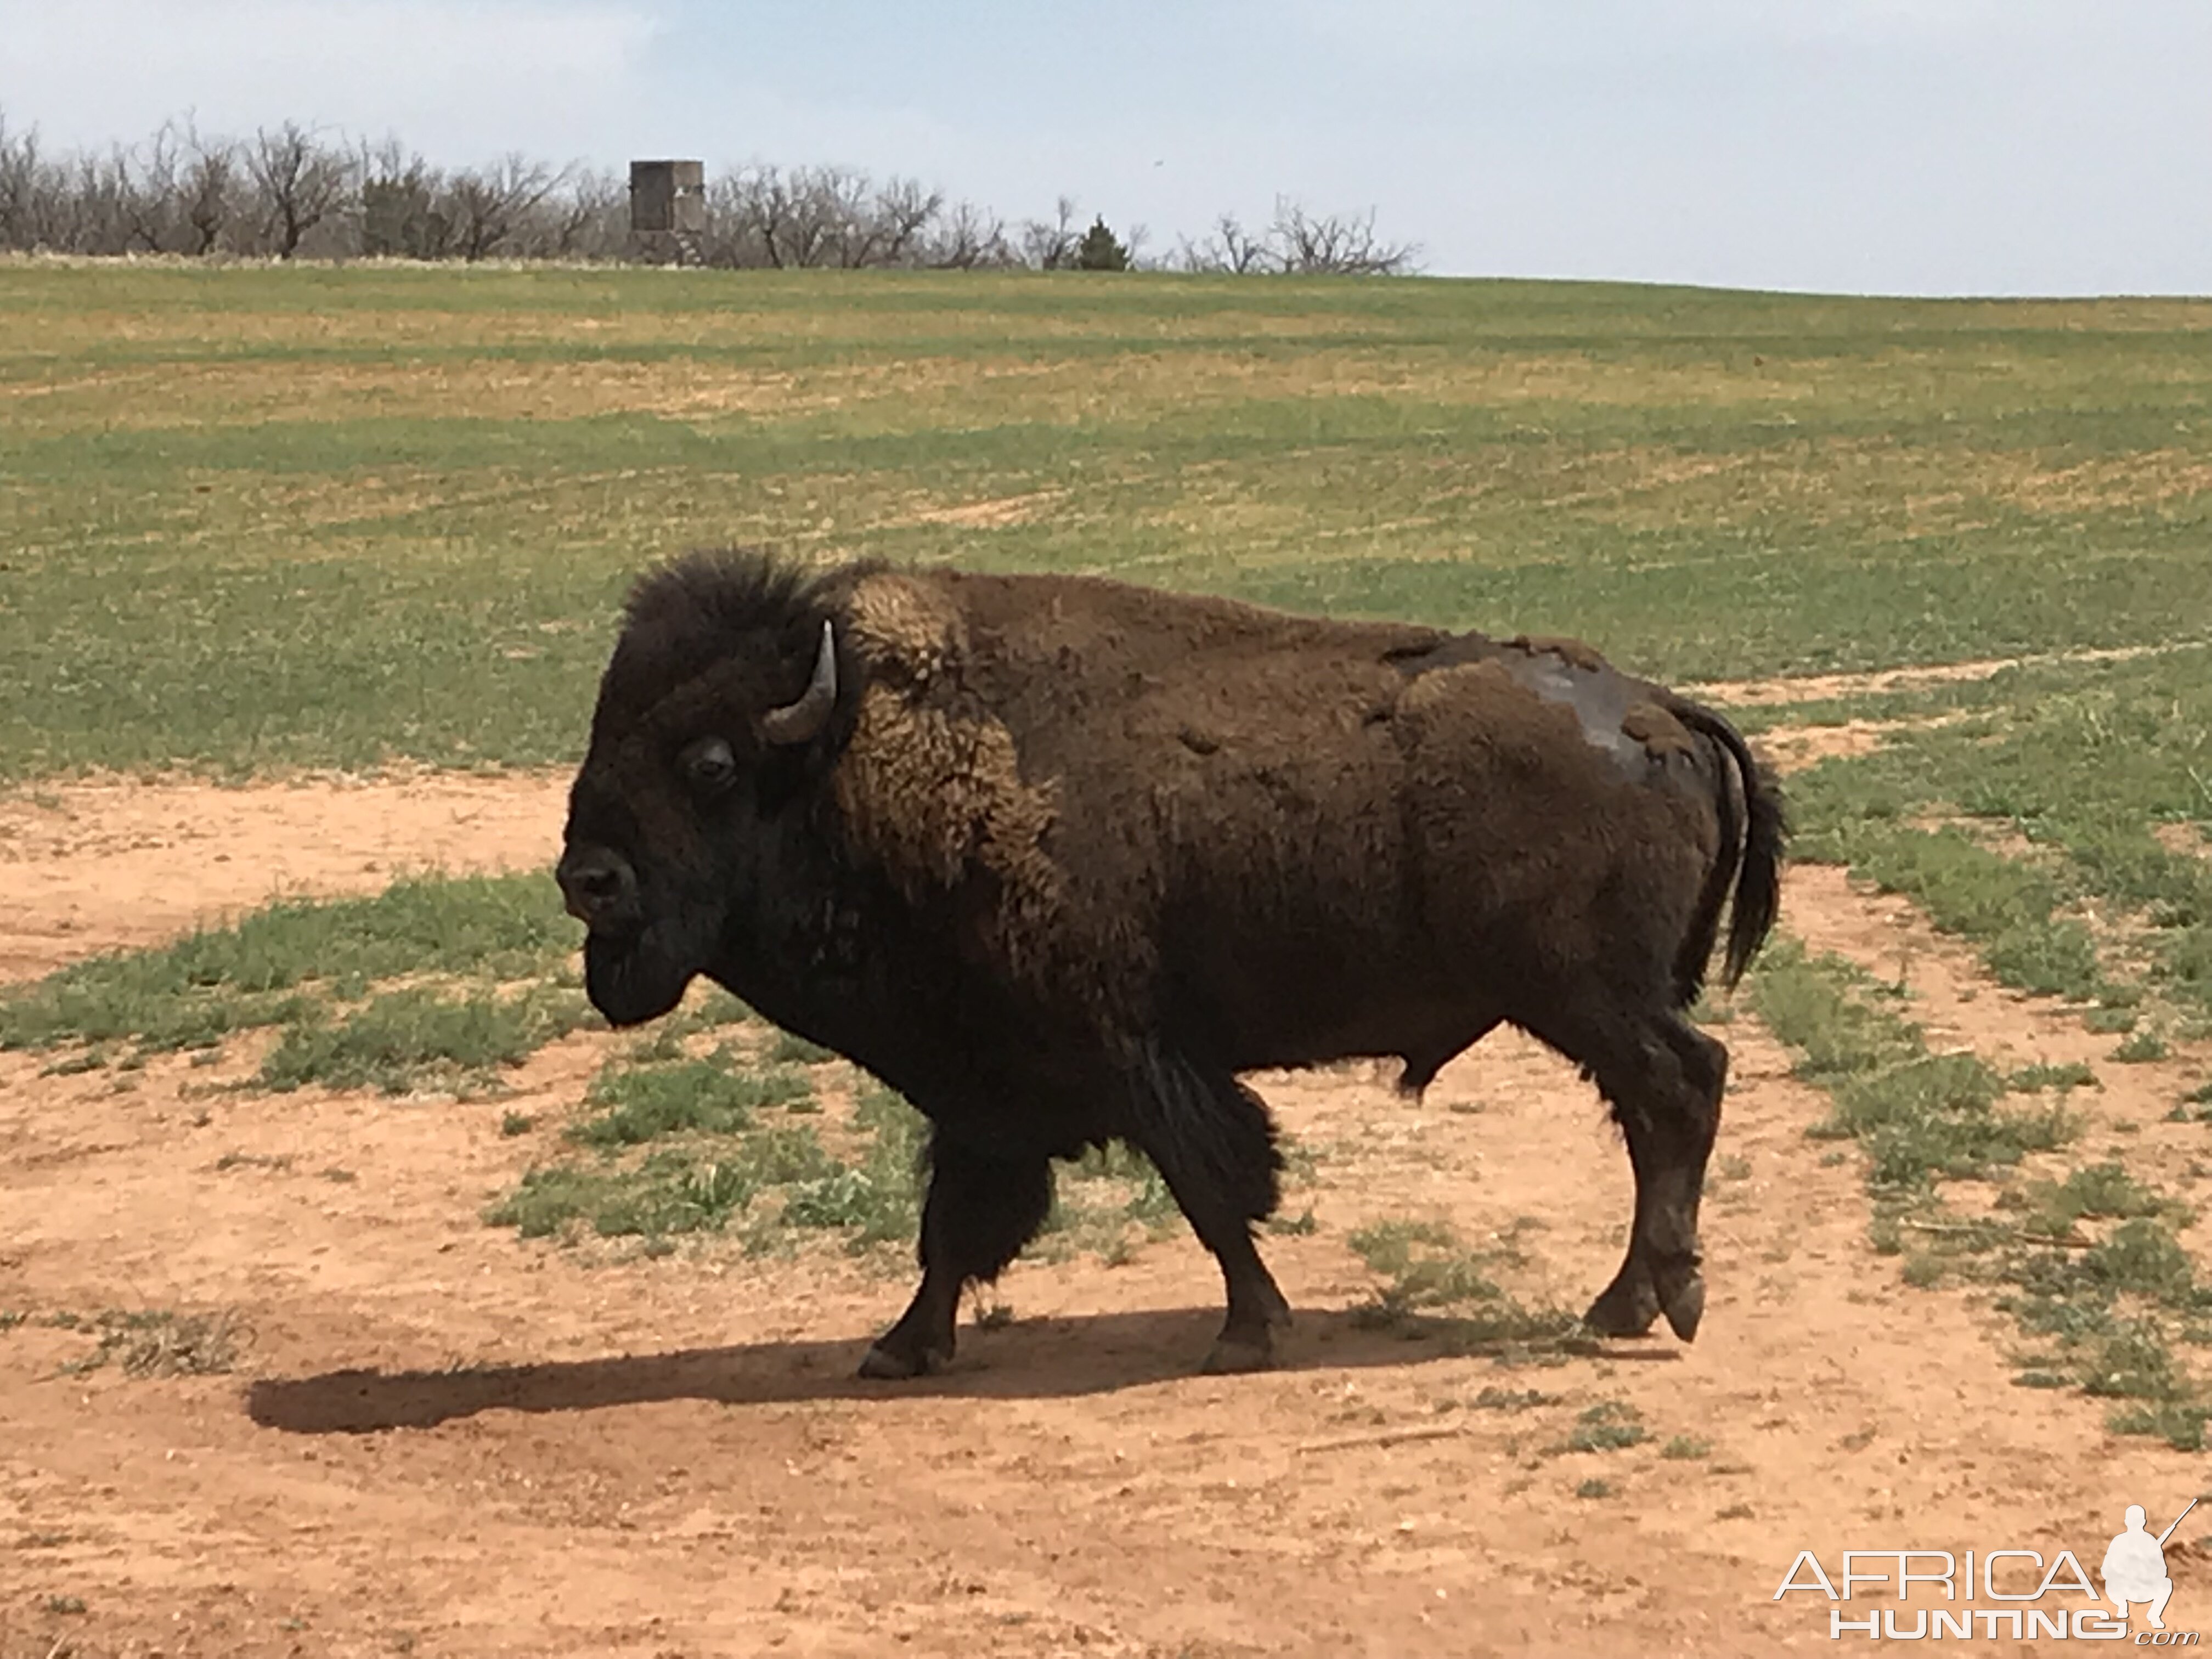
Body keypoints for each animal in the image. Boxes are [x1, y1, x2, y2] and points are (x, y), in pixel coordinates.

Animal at [553, 555, 1778, 1380]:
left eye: (710, 761)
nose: (586, 878)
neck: (847, 753)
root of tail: (1661, 710)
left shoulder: (1134, 1055)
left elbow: (1207, 1188)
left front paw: (1247, 1332)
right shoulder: (986, 1090)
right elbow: (956, 1222)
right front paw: (902, 1348)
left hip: (1586, 997)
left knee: (1683, 1090)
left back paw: (1656, 1300)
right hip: (1593, 1004)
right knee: (1658, 1109)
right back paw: (1623, 1303)